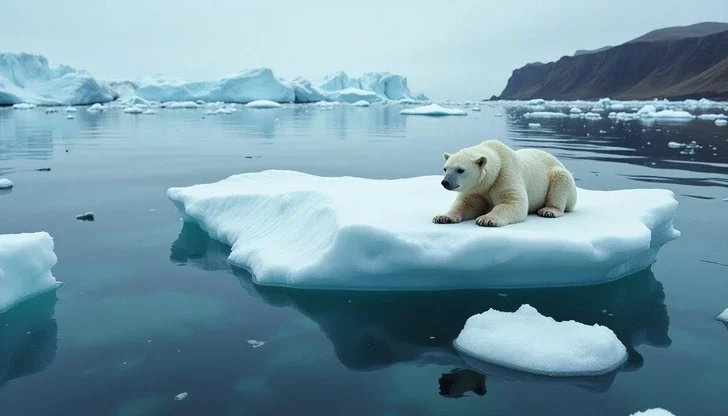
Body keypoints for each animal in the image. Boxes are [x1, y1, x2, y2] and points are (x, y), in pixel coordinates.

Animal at [432, 141, 580, 228]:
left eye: (460, 170)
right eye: (445, 169)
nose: (445, 182)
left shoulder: (506, 174)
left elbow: (513, 202)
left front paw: (486, 219)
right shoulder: (476, 189)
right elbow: (466, 204)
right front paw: (443, 217)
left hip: (559, 176)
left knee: (561, 180)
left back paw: (549, 210)